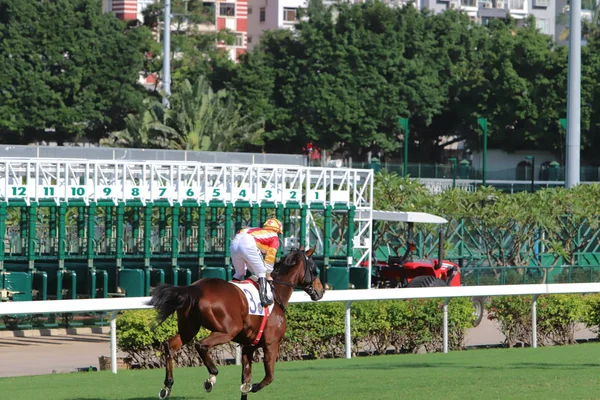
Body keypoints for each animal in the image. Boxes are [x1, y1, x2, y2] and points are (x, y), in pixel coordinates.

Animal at [148, 245, 324, 398]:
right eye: (315, 270)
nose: (321, 290)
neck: (276, 294)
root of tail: (195, 288)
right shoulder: (271, 344)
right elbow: (268, 377)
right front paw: (253, 386)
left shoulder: (248, 346)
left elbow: (245, 379)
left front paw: (247, 386)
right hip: (228, 331)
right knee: (201, 345)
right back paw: (211, 376)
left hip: (189, 329)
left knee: (170, 345)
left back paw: (167, 385)